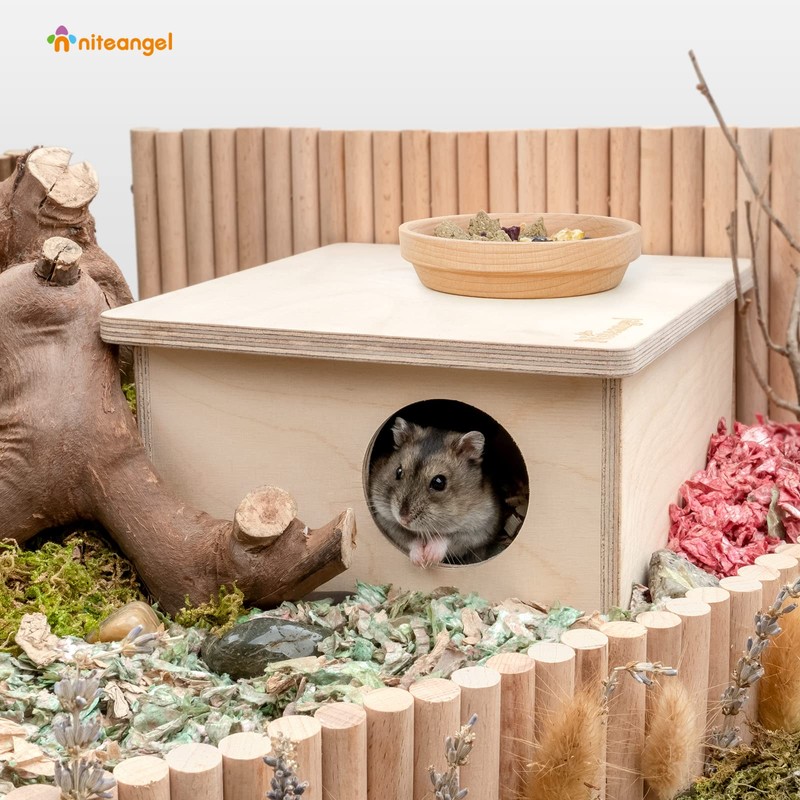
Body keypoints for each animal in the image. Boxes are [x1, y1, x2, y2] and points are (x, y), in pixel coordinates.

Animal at [368, 417, 503, 567]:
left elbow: (447, 538)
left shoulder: (479, 528)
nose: (403, 519)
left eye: (439, 482)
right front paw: (420, 561)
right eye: (398, 471)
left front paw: (429, 557)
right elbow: (409, 539)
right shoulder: (386, 520)